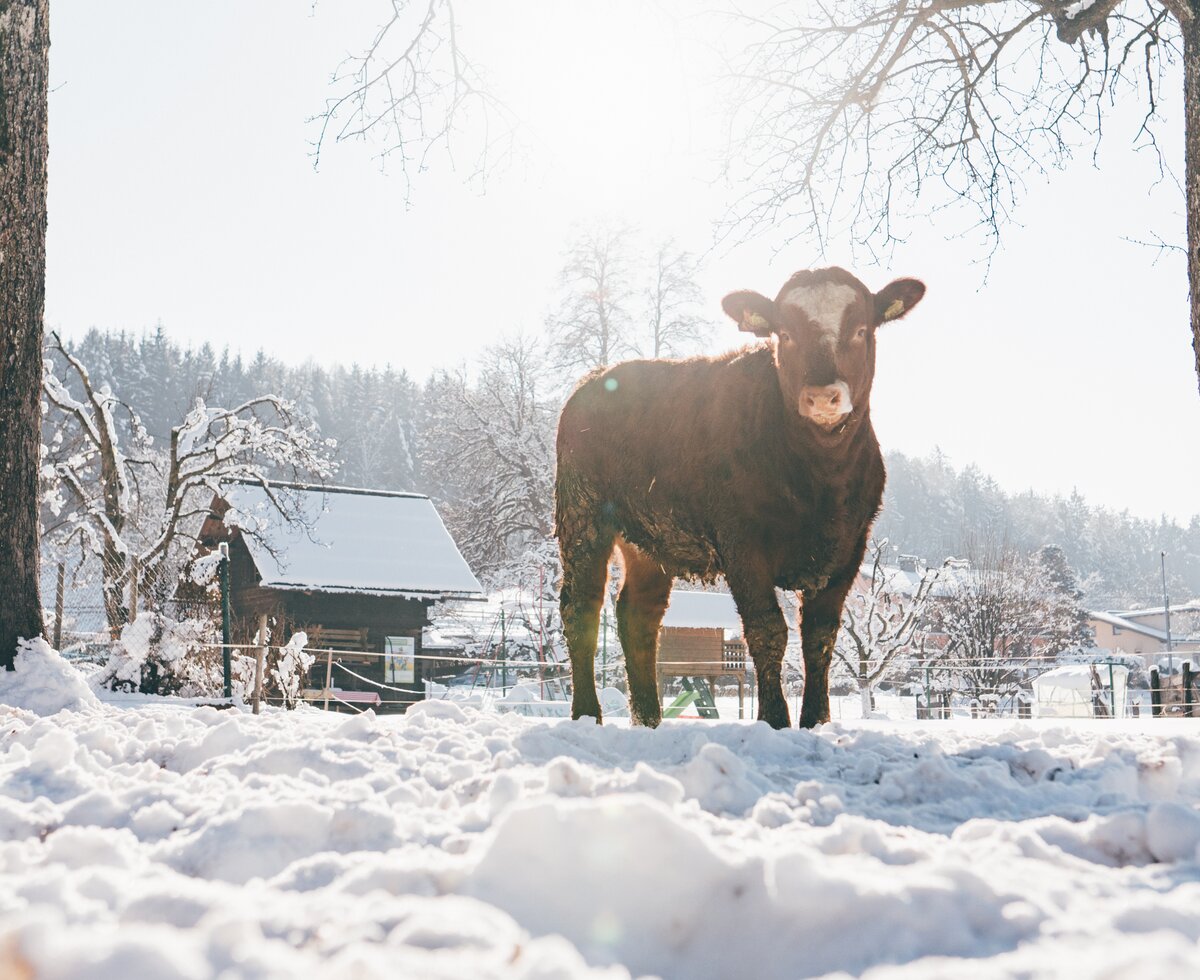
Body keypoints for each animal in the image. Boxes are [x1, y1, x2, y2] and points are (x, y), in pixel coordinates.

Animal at [552, 267, 926, 724]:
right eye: (785, 334)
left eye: (860, 330)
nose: (822, 395)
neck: (822, 478)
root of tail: (596, 379)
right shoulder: (742, 542)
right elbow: (767, 629)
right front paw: (775, 719)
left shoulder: (850, 546)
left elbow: (820, 636)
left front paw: (815, 721)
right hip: (582, 514)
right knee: (581, 607)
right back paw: (587, 713)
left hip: (649, 539)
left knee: (639, 616)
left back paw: (650, 719)